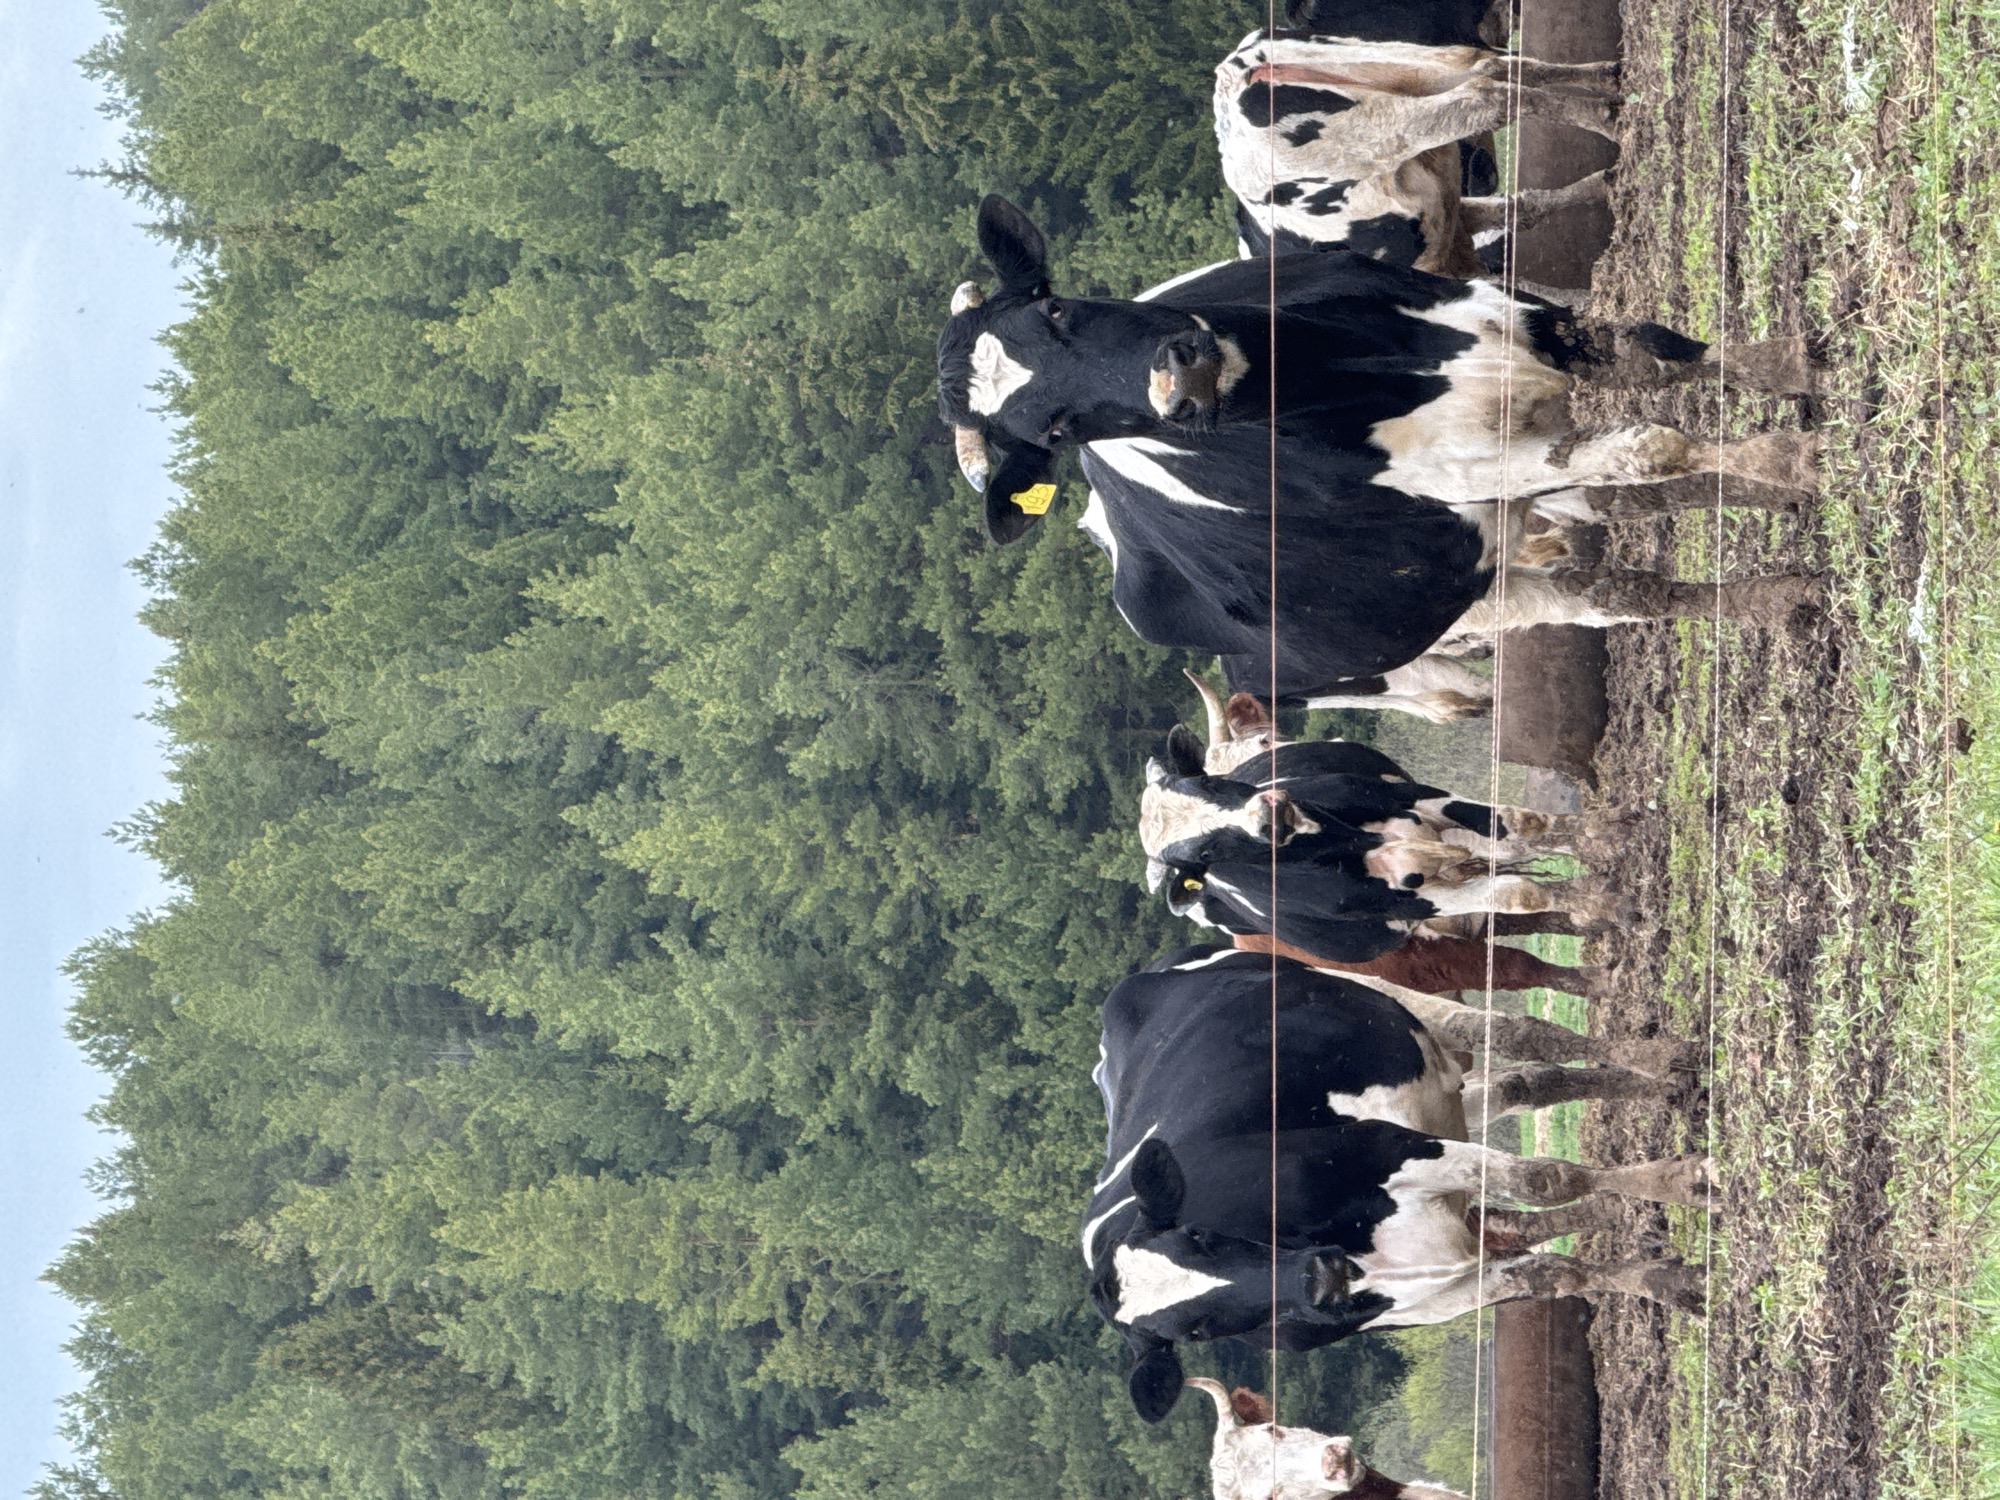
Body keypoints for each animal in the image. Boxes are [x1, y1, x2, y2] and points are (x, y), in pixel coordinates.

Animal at [936, 196, 1820, 715]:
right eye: (1054, 432)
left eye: (1053, 308)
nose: (1180, 379)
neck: (1348, 371)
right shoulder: (1476, 470)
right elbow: (1654, 448)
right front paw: (1787, 463)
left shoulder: (1506, 316)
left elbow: (1656, 352)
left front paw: (1790, 383)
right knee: (1602, 593)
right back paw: (1777, 595)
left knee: (1609, 579)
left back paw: (1776, 593)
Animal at [1085, 947, 1709, 1422]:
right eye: (1195, 1331)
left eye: (1201, 1236)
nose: (1319, 1278)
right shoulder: (1438, 1293)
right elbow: (1556, 1272)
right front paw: (1665, 1281)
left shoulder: (1383, 1147)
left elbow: (1544, 1179)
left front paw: (1684, 1182)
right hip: (1442, 1101)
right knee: (1524, 1087)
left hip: (1386, 1001)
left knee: (1524, 1038)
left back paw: (1664, 1060)